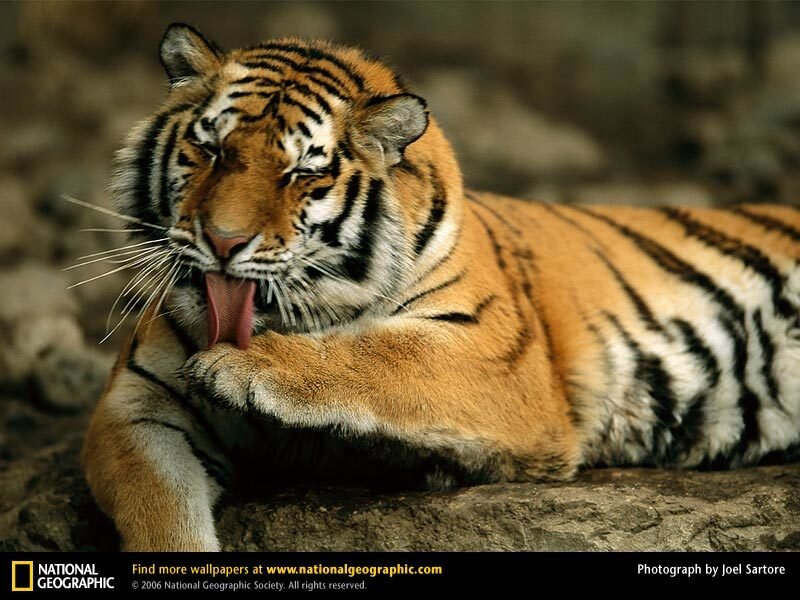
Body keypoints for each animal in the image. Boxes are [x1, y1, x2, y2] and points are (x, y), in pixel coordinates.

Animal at [81, 23, 800, 552]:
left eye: (300, 175)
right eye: (211, 150)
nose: (224, 241)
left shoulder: (496, 356)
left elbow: (379, 354)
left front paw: (242, 367)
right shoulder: (138, 408)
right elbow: (162, 514)